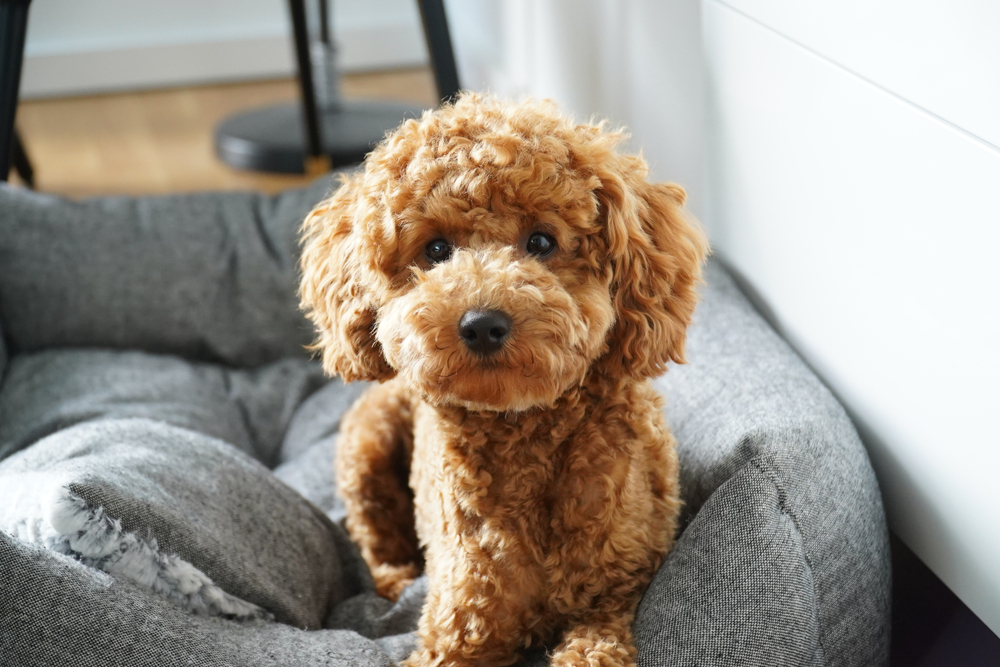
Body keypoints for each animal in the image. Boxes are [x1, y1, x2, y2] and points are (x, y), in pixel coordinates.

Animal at [300, 94, 708, 667]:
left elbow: (593, 645)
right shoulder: (459, 627)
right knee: (375, 538)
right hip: (366, 447)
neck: (524, 436)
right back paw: (395, 583)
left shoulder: (613, 600)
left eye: (541, 241)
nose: (482, 324)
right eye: (436, 250)